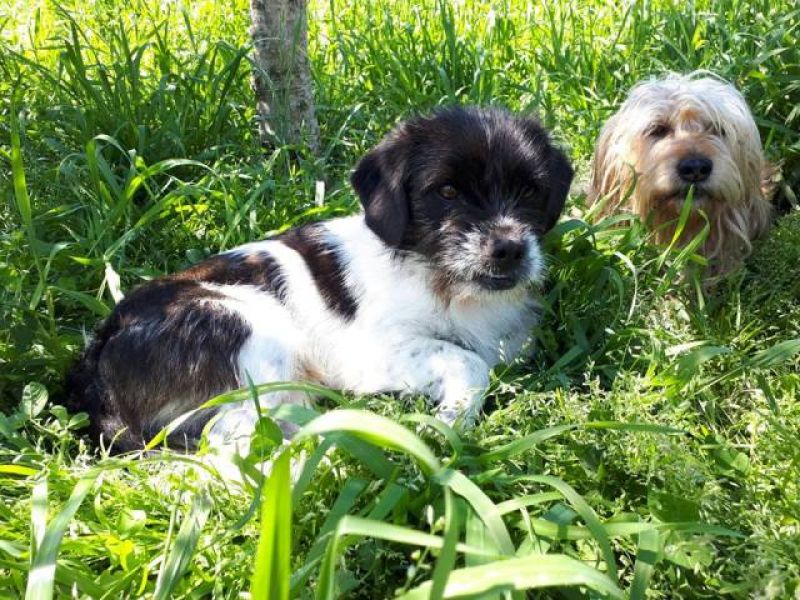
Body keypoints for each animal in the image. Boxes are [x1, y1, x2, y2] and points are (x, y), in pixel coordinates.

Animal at [65, 108, 572, 452]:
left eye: (530, 190)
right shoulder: (370, 354)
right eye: (446, 191)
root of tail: (95, 363)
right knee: (232, 444)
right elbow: (468, 361)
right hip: (246, 331)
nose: (510, 248)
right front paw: (449, 420)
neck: (444, 283)